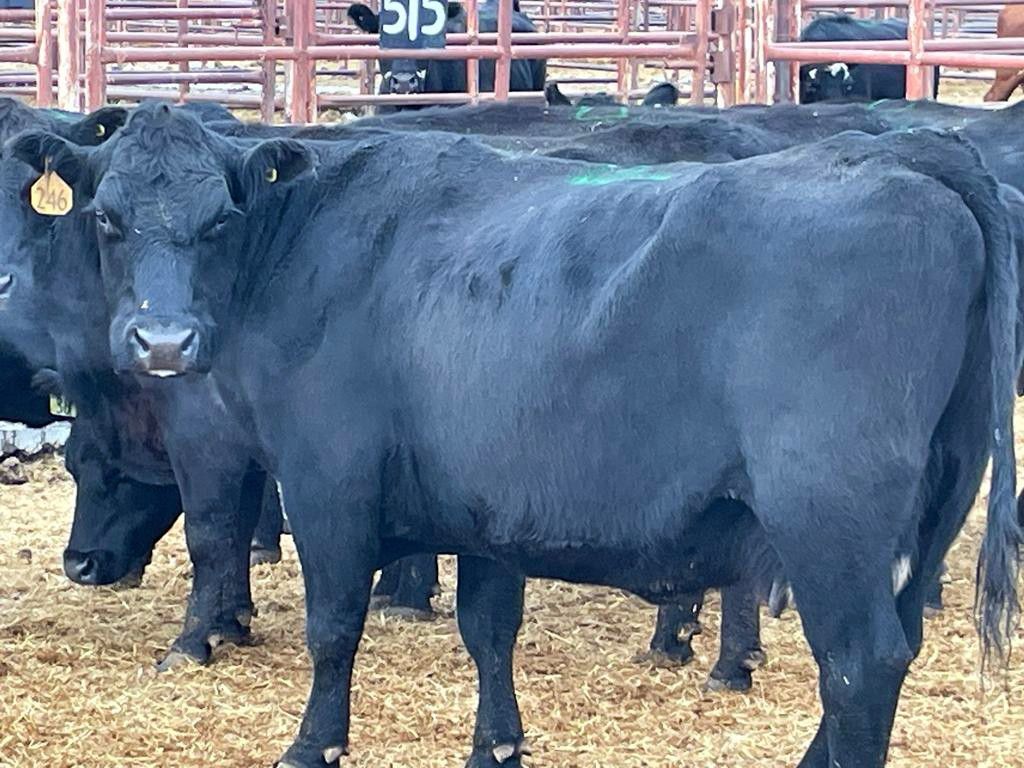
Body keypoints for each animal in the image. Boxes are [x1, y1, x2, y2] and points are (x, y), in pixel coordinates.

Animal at [26, 103, 1018, 767]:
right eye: (107, 217)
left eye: (220, 219)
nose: (162, 341)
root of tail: (915, 156)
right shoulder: (483, 506)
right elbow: (488, 629)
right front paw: (495, 745)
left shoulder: (325, 482)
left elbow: (332, 627)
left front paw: (312, 746)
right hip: (928, 511)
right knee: (888, 652)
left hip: (827, 515)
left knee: (859, 664)